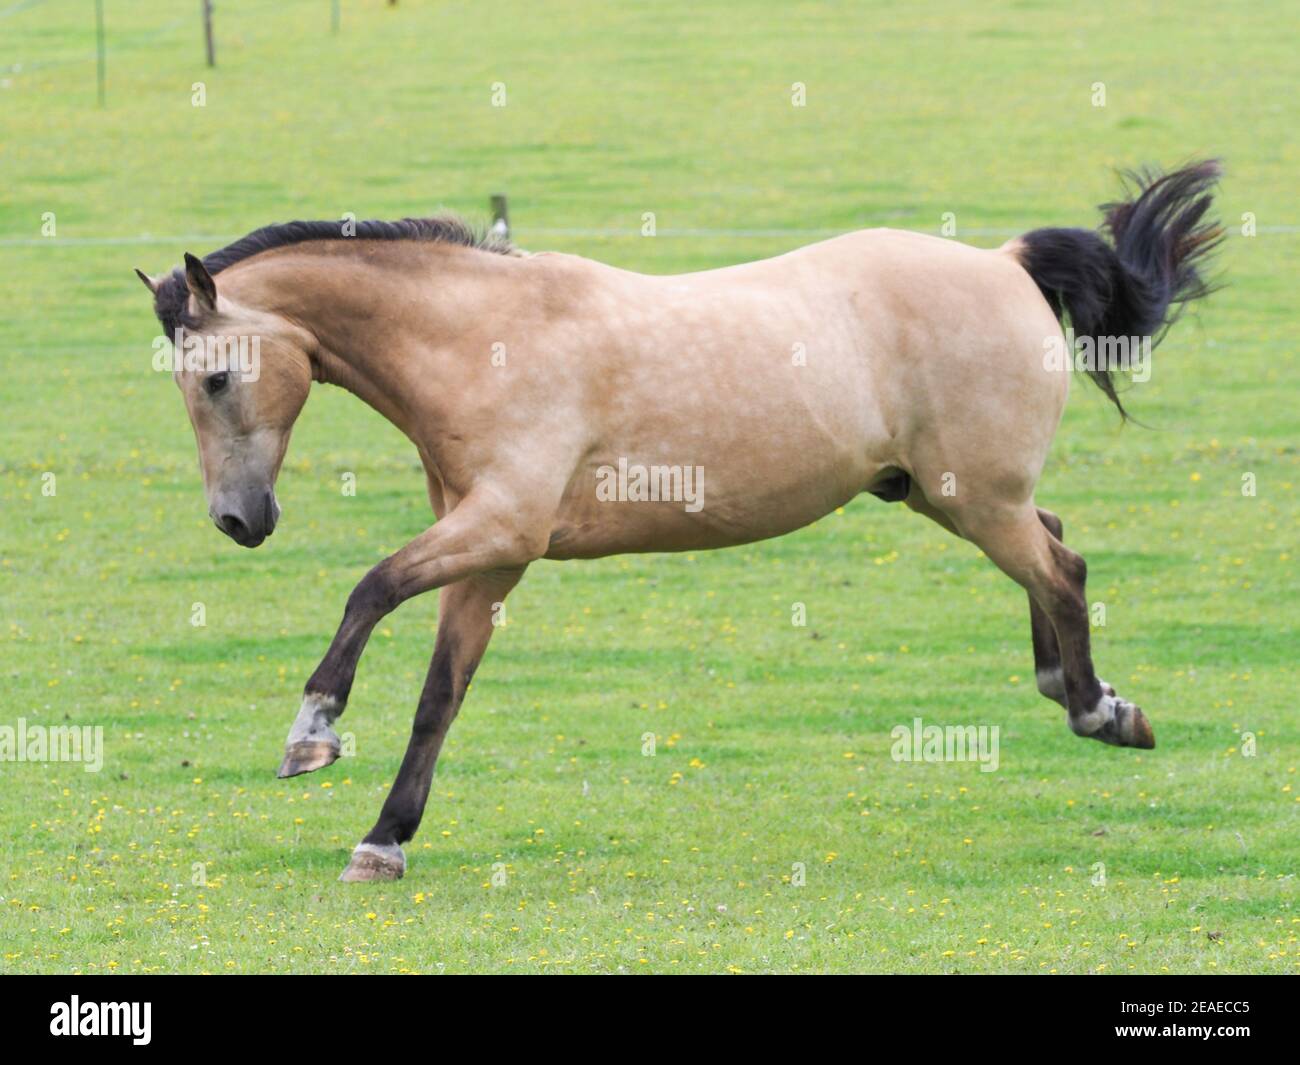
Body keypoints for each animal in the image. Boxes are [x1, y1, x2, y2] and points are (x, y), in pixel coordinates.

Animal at [137, 156, 1222, 873]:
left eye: (218, 378)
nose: (239, 520)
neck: (485, 340)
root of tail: (1004, 262)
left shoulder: (499, 531)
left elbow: (368, 590)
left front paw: (311, 733)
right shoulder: (489, 561)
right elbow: (440, 695)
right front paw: (384, 838)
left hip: (975, 499)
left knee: (1062, 569)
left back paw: (1100, 709)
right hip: (950, 495)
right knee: (1056, 548)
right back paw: (1076, 688)